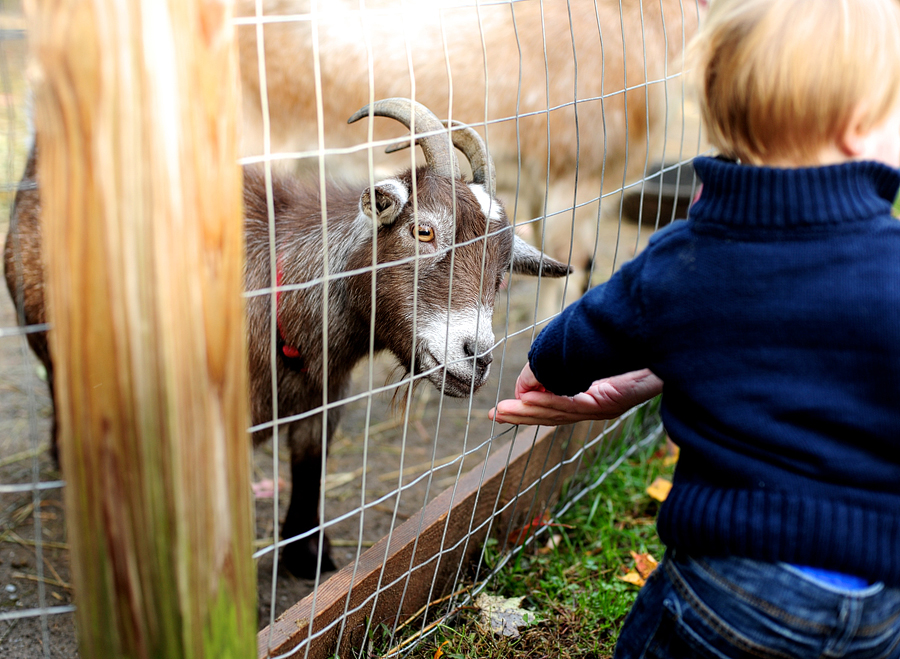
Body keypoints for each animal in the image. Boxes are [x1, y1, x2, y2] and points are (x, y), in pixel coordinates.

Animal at [3, 98, 568, 576]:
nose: (478, 357)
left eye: (502, 268)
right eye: (423, 230)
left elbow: (309, 468)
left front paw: (307, 557)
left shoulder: (323, 401)